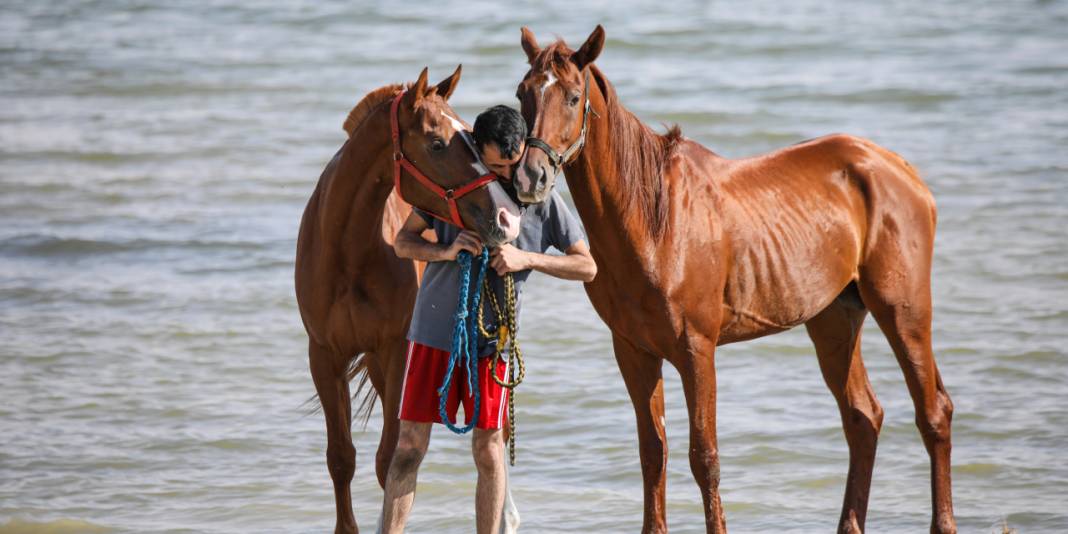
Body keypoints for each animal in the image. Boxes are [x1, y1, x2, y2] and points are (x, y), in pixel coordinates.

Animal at [296, 66, 521, 534]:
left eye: (472, 134)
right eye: (437, 143)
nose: (507, 217)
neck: (350, 252)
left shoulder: (397, 352)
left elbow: (387, 462)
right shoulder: (323, 355)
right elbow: (341, 458)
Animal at [512, 26, 956, 534]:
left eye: (572, 96)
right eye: (523, 93)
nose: (529, 177)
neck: (654, 221)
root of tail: (901, 170)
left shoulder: (696, 349)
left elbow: (704, 457)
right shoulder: (633, 351)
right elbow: (652, 453)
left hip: (903, 311)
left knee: (933, 413)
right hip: (835, 320)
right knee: (863, 417)